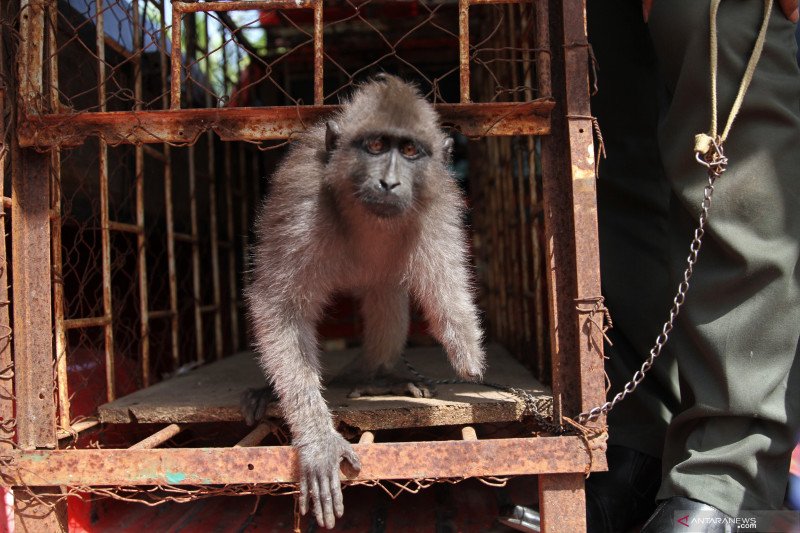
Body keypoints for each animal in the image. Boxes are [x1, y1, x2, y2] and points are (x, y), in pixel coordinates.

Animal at [241, 75, 484, 528]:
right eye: (374, 146)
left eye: (410, 152)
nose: (389, 182)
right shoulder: (301, 200)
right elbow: (279, 309)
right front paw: (319, 440)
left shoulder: (439, 198)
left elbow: (445, 275)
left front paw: (464, 344)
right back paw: (269, 393)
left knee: (386, 292)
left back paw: (377, 377)